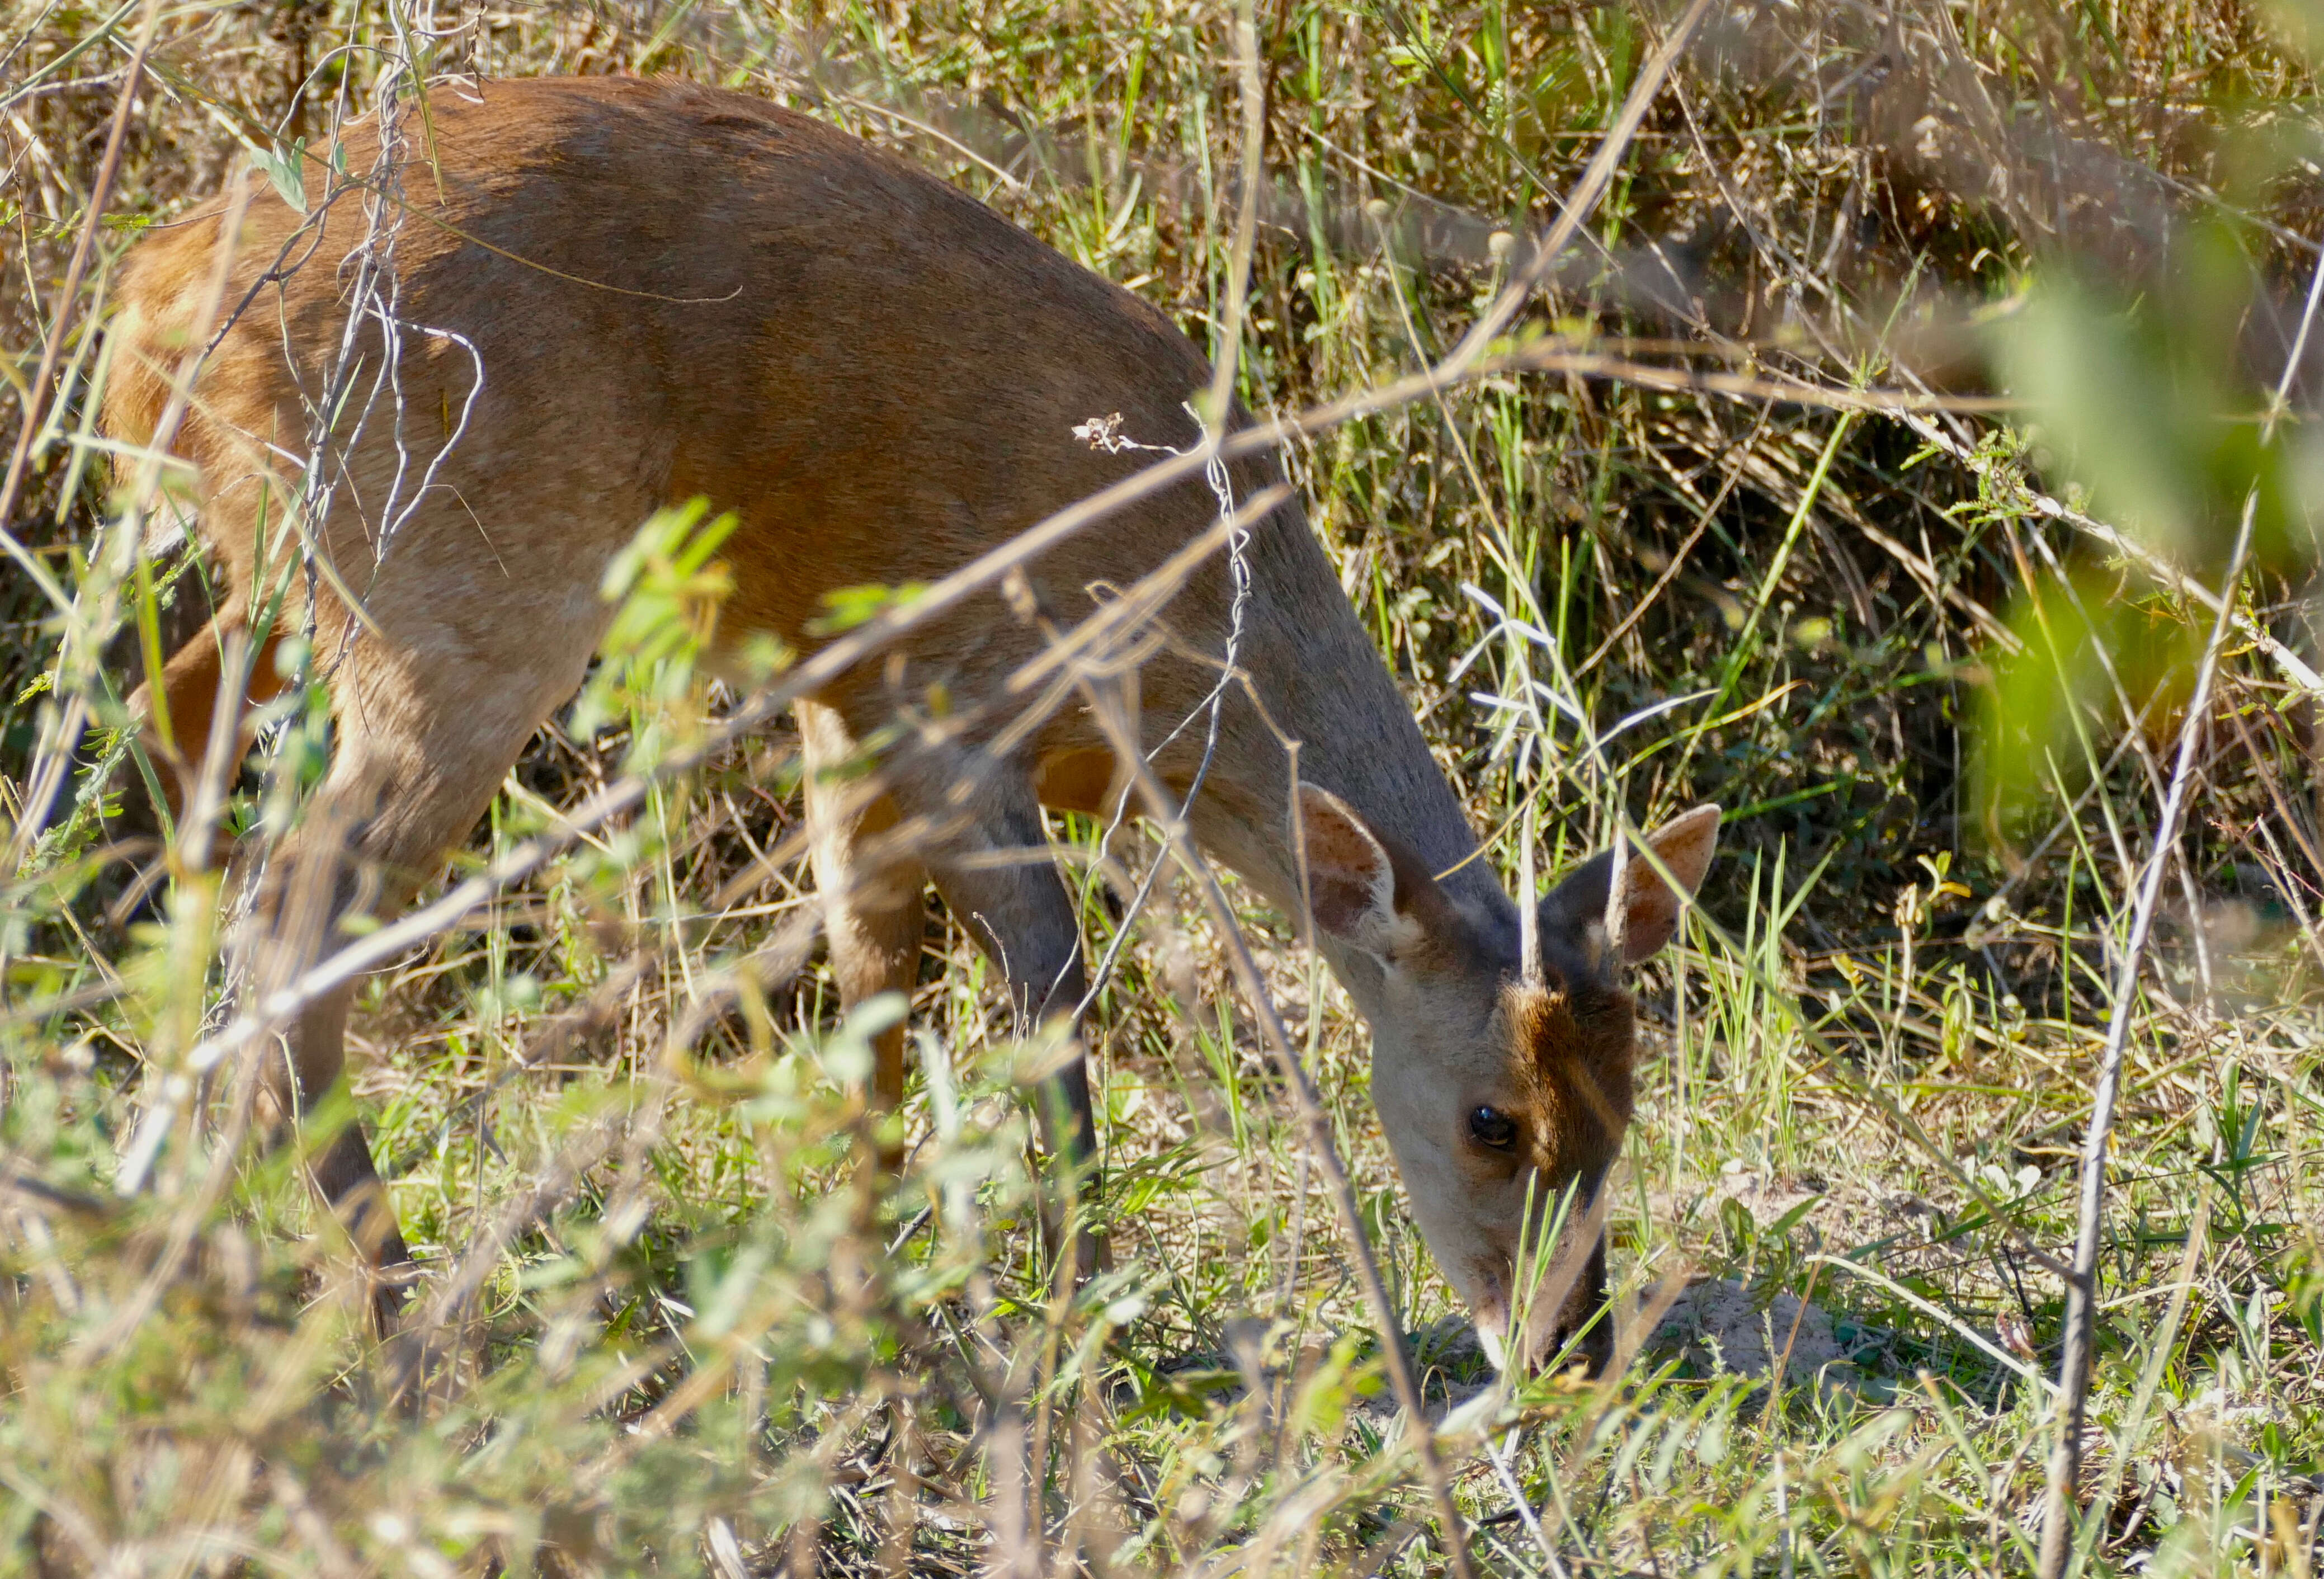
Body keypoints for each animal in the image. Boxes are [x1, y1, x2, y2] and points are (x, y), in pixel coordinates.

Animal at [104, 74, 1710, 1367]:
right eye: (1493, 1118)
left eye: (1627, 1106)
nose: (1568, 1349)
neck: (1190, 631)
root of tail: (154, 300)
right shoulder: (951, 707)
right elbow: (1049, 1006)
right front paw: (1074, 1330)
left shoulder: (845, 709)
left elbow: (880, 988)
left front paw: (867, 1302)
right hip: (459, 601)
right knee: (294, 913)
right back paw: (377, 1304)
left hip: (290, 584)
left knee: (167, 739)